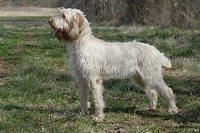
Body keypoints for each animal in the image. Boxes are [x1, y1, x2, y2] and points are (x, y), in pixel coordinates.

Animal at [48, 7, 178, 121]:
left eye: (64, 16)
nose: (49, 21)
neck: (80, 44)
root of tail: (156, 50)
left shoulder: (93, 79)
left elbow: (97, 100)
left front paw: (98, 117)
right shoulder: (81, 79)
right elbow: (83, 98)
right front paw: (83, 114)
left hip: (151, 75)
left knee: (168, 90)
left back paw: (172, 109)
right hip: (139, 78)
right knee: (153, 91)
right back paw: (151, 107)